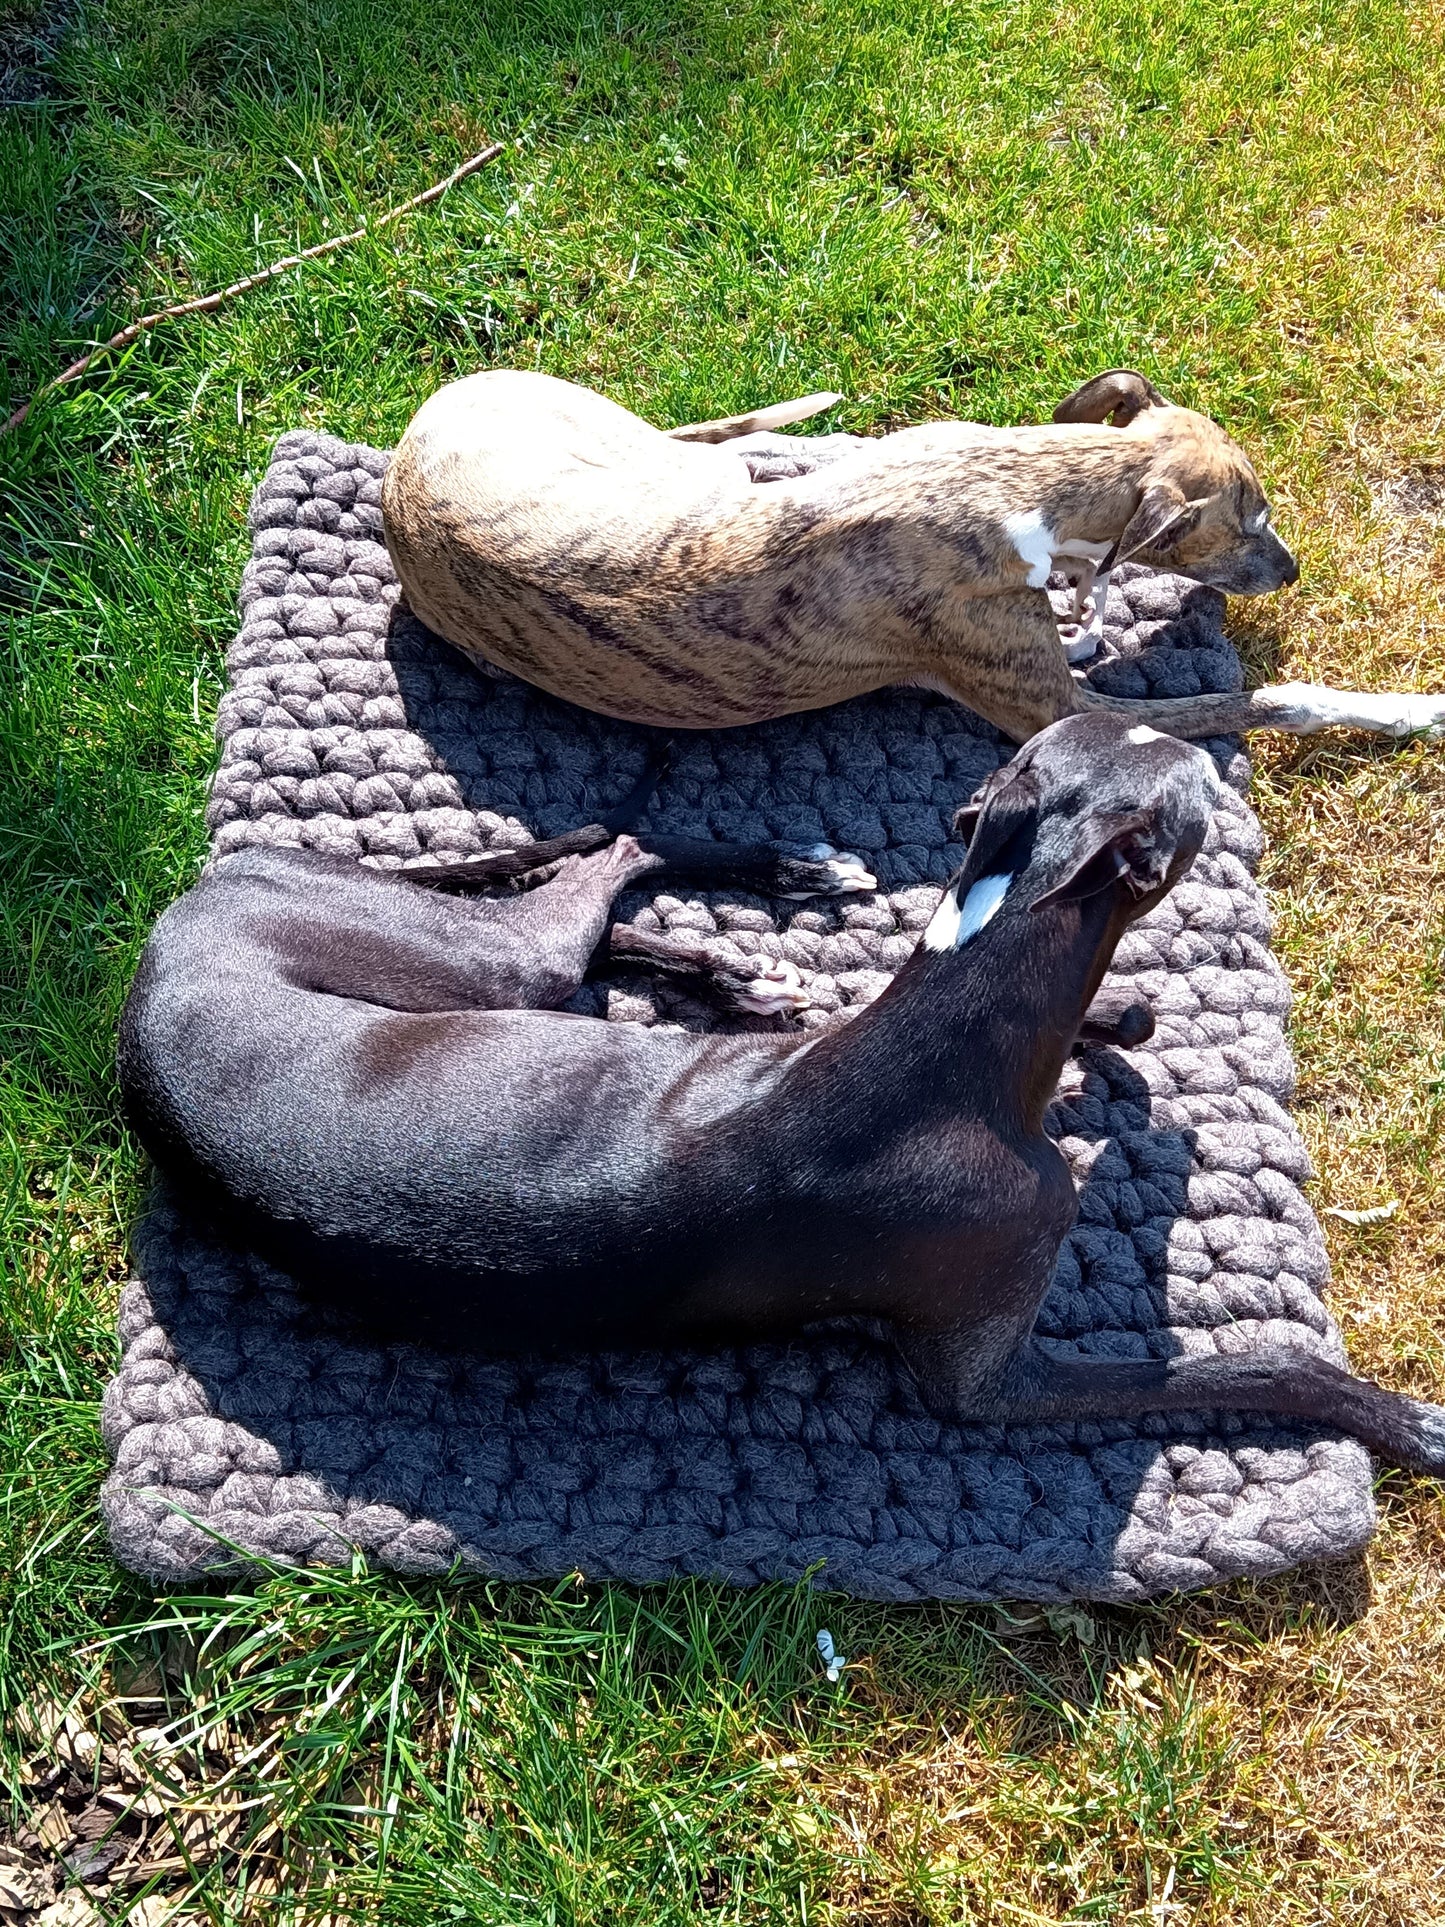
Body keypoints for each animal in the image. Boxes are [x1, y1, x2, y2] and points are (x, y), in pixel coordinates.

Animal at [118, 716, 1445, 1464]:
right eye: (1188, 789)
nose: (1218, 756)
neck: (954, 1021)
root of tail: (171, 940)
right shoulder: (981, 1382)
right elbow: (1235, 1369)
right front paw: (1391, 1415)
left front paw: (1116, 1018)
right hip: (487, 958)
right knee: (606, 855)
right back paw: (762, 899)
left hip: (487, 967)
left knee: (606, 902)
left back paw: (753, 947)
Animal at [381, 368, 1445, 743]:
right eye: (1252, 519)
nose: (1294, 572)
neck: (1013, 478)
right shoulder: (1056, 710)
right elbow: (1263, 703)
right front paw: (1406, 712)